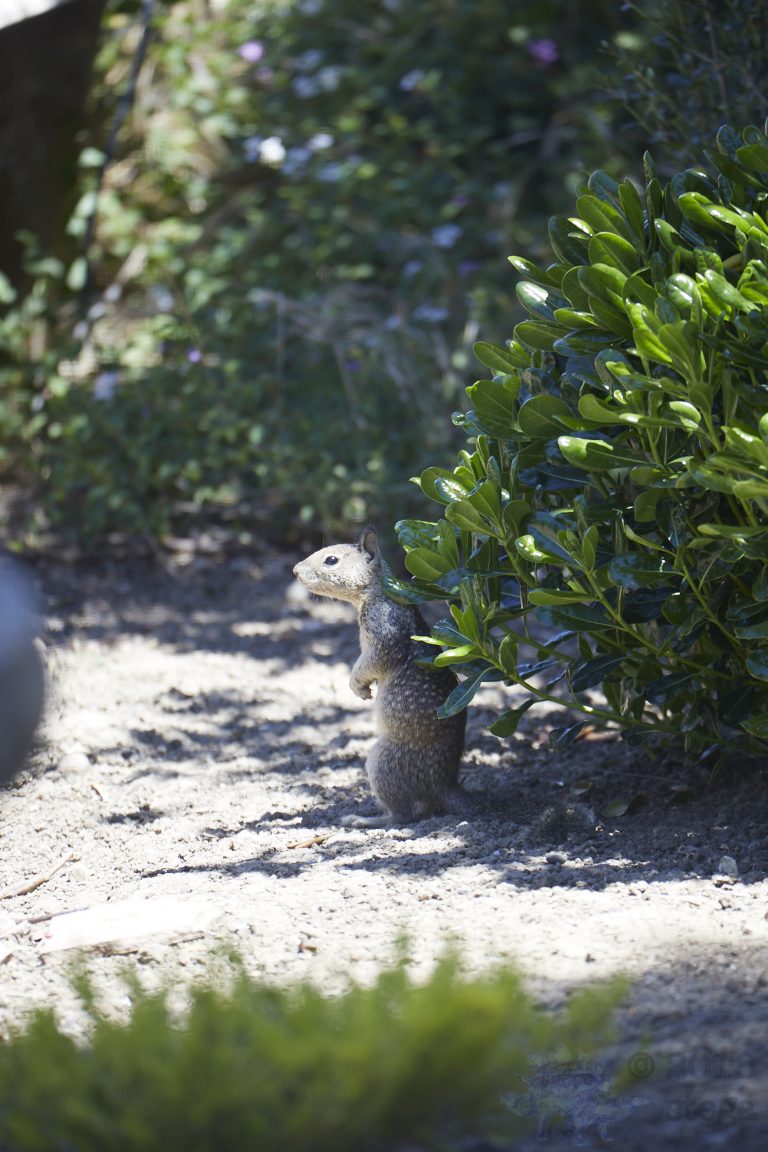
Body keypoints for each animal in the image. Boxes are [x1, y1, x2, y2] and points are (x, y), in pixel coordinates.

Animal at [293, 526, 470, 826]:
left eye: (331, 560)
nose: (294, 570)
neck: (377, 592)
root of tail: (445, 785)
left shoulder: (383, 632)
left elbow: (370, 662)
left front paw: (356, 685)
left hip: (381, 761)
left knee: (402, 816)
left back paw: (363, 820)